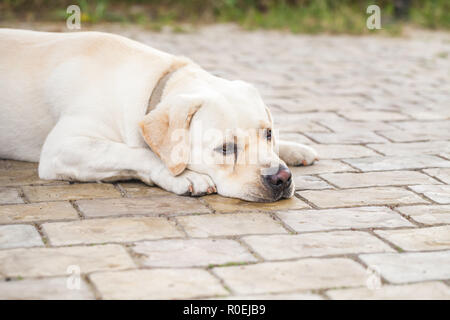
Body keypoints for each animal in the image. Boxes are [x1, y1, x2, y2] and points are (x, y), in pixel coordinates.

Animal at [0, 28, 316, 201]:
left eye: (269, 133)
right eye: (225, 149)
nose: (281, 178)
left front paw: (294, 148)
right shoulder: (61, 148)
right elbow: (135, 153)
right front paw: (185, 176)